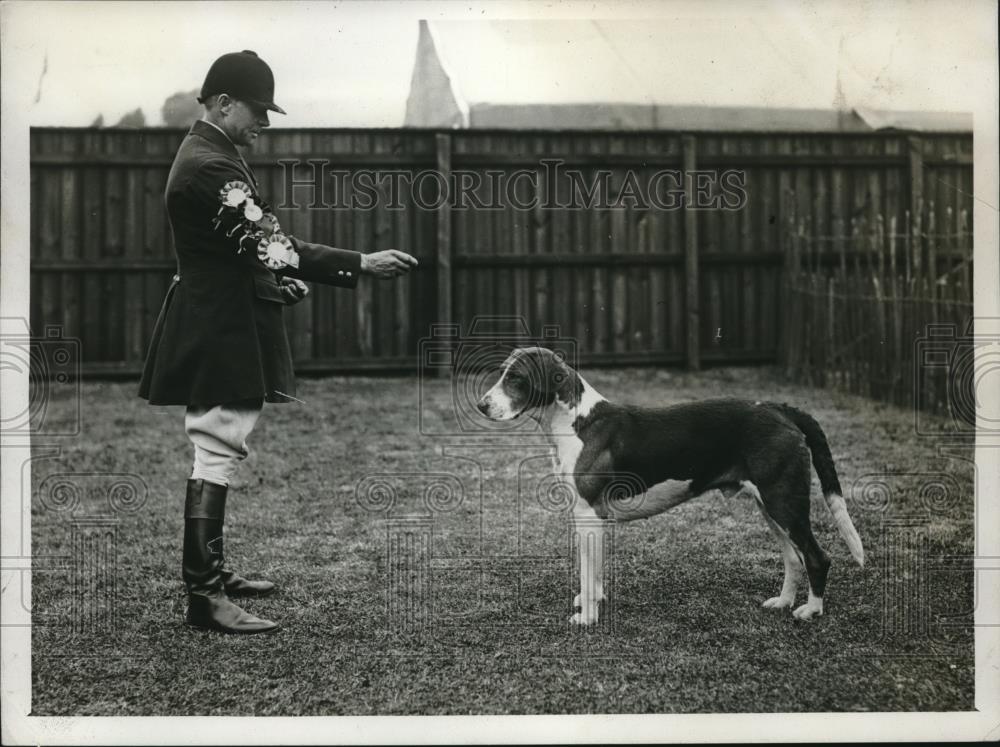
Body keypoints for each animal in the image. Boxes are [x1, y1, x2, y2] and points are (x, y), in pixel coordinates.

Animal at [472, 350, 864, 624]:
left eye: (516, 378)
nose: (481, 405)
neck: (576, 422)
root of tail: (780, 408)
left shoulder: (589, 515)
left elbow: (586, 569)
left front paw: (587, 618)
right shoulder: (588, 519)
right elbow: (591, 568)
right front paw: (592, 601)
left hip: (784, 503)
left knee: (817, 557)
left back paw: (811, 611)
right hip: (771, 506)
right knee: (793, 557)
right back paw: (783, 601)